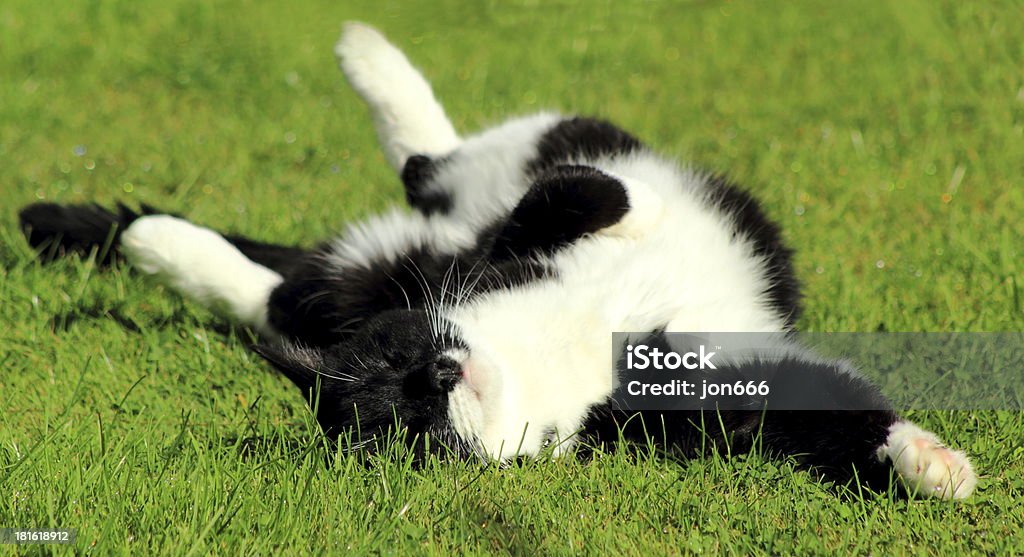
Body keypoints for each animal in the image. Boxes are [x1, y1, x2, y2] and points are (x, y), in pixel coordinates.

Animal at [18, 21, 974, 499]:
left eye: (398, 353)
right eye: (407, 426)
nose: (438, 375)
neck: (550, 348)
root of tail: (401, 244)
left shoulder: (510, 248)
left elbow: (570, 201)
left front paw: (929, 464)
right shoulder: (702, 394)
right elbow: (816, 406)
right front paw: (931, 467)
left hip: (515, 156)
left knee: (435, 162)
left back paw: (366, 56)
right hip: (349, 273)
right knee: (280, 283)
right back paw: (153, 239)